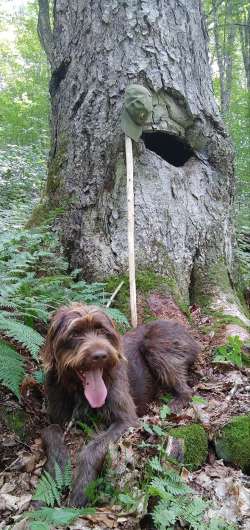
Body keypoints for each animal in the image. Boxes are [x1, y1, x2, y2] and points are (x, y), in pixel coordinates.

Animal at [42, 302, 200, 504]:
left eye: (103, 330)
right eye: (75, 333)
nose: (100, 355)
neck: (79, 391)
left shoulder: (126, 420)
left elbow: (92, 449)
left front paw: (81, 488)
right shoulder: (57, 418)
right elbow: (51, 432)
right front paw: (57, 467)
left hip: (156, 345)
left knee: (187, 390)